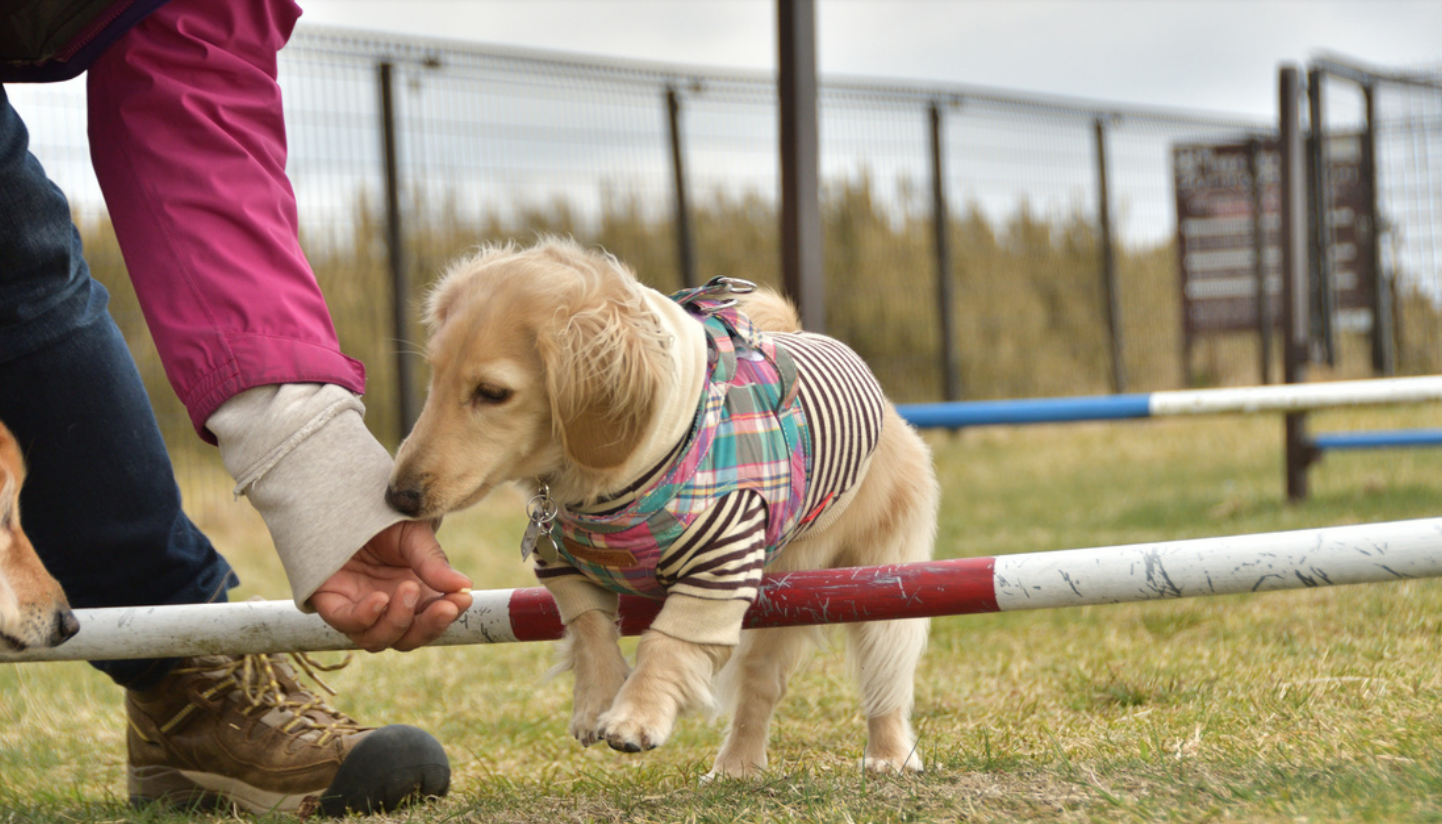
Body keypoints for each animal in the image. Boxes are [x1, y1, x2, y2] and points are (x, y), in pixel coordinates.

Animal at [389, 235, 940, 779]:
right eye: (435, 376)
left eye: (493, 393)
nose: (398, 496)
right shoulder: (561, 563)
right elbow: (589, 627)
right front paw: (597, 700)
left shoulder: (721, 563)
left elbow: (668, 641)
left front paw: (637, 714)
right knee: (759, 688)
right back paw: (738, 765)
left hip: (877, 585)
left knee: (884, 675)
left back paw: (888, 754)